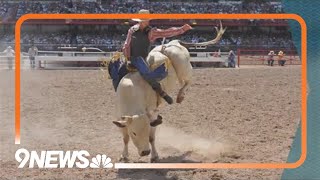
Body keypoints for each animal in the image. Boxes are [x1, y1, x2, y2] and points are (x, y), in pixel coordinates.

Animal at [107, 21, 225, 162]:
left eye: (146, 129)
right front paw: (124, 155)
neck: (131, 94)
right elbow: (125, 138)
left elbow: (151, 137)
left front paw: (154, 156)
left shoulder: (152, 114)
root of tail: (173, 43)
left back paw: (179, 96)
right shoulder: (121, 117)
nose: (145, 152)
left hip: (183, 66)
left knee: (187, 81)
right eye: (134, 132)